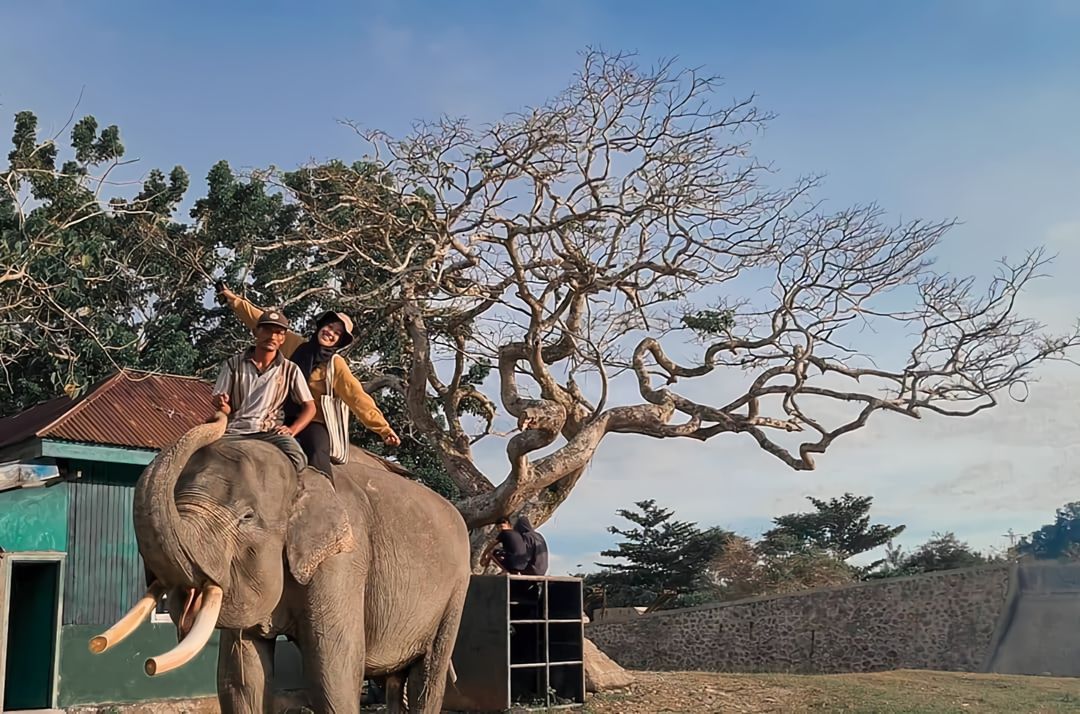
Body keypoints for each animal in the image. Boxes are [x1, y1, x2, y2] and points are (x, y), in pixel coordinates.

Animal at [93, 412, 477, 712]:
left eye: (246, 517)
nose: (149, 665)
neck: (300, 476)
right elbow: (239, 677)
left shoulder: (344, 560)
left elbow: (333, 669)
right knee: (397, 680)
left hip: (457, 591)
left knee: (429, 674)